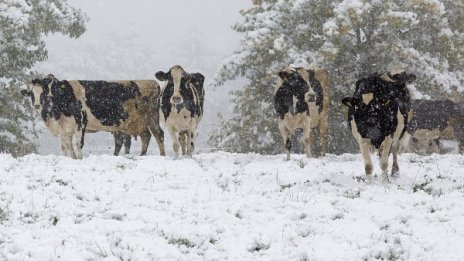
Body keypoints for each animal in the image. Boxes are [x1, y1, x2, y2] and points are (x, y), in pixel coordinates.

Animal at [22, 74, 167, 157]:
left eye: (46, 90)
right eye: (32, 93)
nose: (37, 105)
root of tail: (152, 83)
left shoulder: (80, 123)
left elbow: (78, 144)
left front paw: (79, 159)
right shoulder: (64, 128)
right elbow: (66, 146)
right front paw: (69, 158)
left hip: (152, 119)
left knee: (158, 134)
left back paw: (162, 155)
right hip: (138, 123)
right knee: (145, 136)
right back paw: (142, 155)